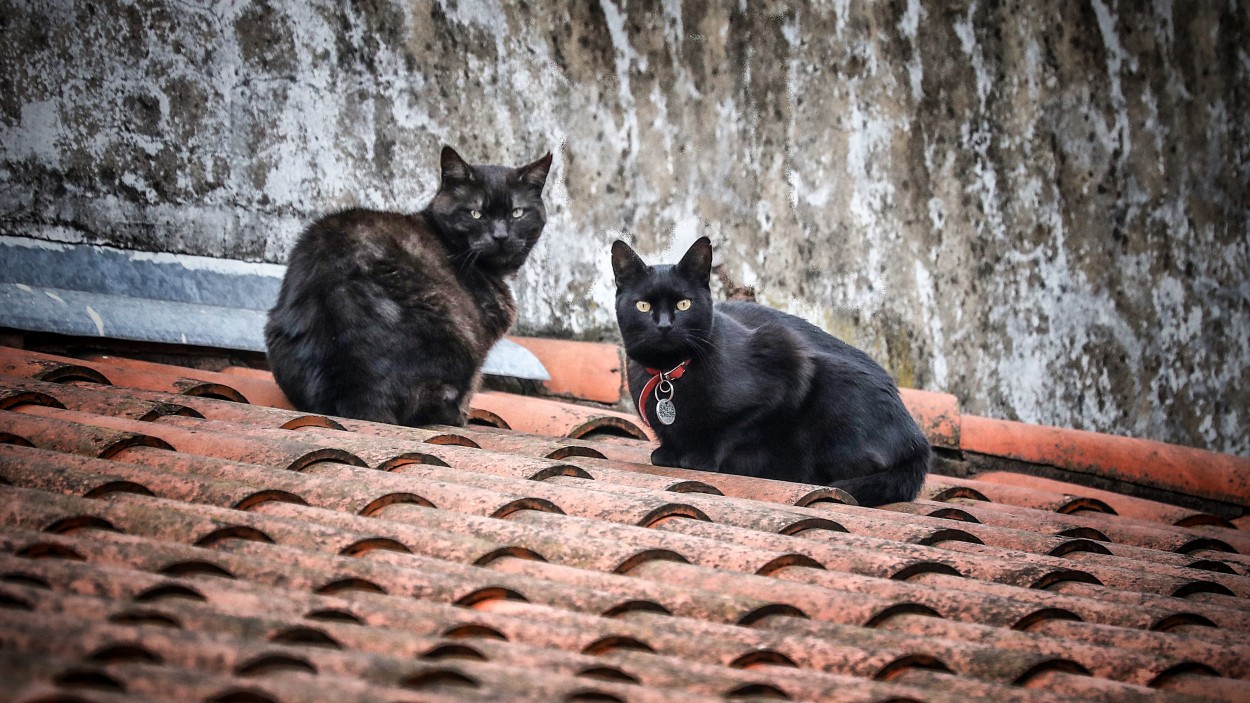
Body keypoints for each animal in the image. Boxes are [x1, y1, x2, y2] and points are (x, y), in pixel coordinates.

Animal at [610, 235, 935, 502]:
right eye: (642, 306)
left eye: (684, 304)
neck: (669, 374)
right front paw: (669, 452)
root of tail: (918, 444)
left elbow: (734, 428)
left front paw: (702, 457)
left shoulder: (787, 359)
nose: (665, 326)